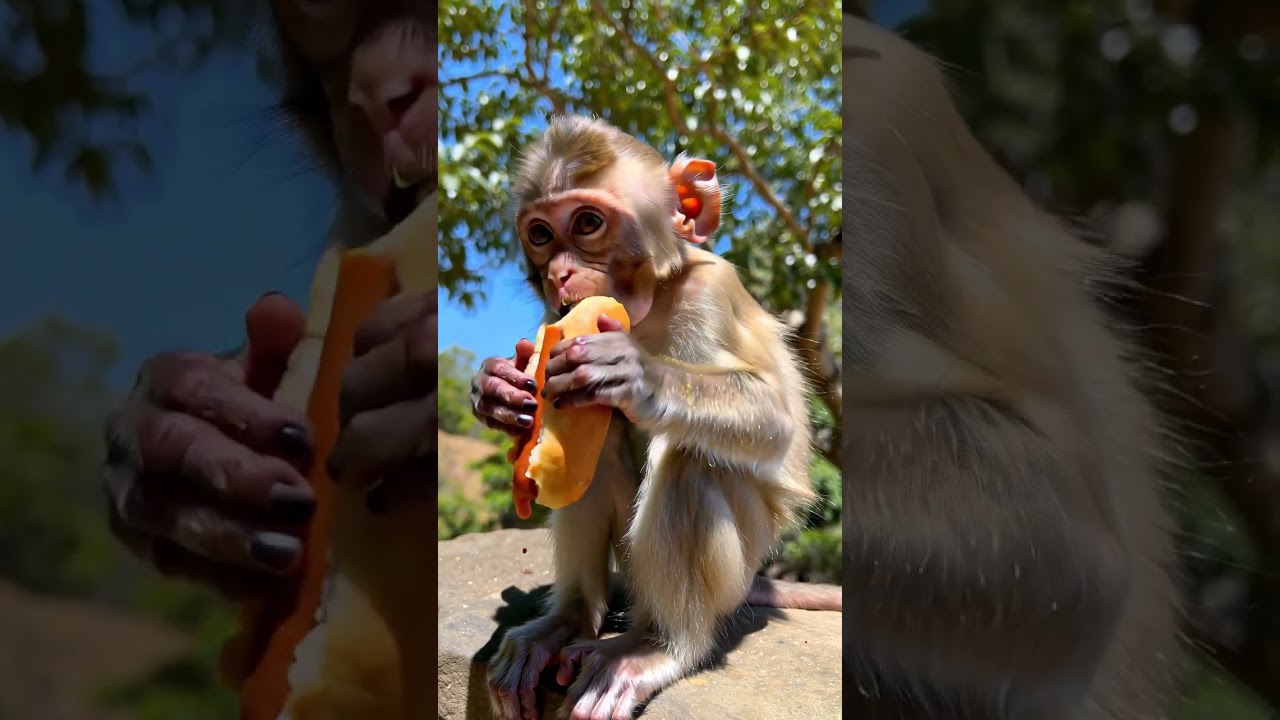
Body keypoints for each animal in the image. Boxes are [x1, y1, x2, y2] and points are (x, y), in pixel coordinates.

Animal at [470, 114, 843, 720]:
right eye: (541, 235)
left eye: (588, 222)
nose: (559, 274)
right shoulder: (558, 317)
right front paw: (497, 388)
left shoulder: (710, 290)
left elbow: (775, 422)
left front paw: (631, 371)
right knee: (591, 438)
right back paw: (568, 621)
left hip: (733, 573)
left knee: (690, 459)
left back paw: (653, 648)